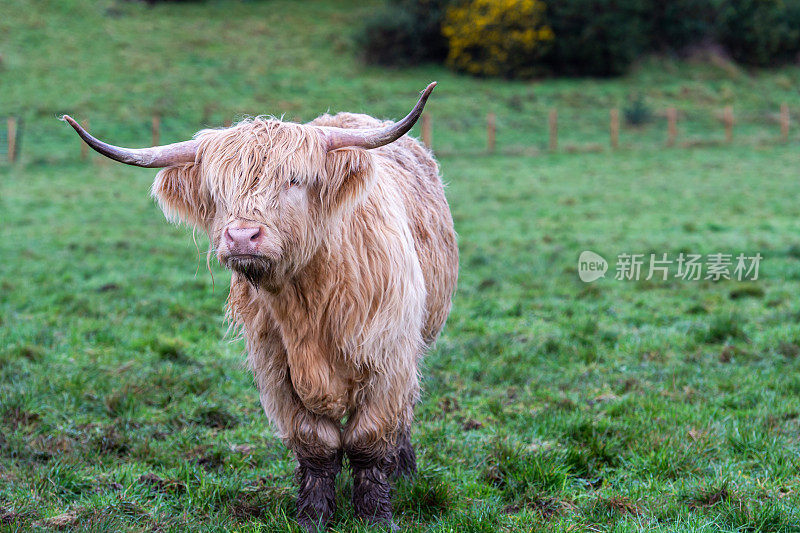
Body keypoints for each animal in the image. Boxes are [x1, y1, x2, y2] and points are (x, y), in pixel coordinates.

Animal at [61, 82, 456, 528]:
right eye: (218, 191)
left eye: (294, 179)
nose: (241, 236)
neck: (309, 301)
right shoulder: (276, 368)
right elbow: (315, 443)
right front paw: (312, 514)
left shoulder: (387, 357)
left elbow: (368, 440)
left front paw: (375, 515)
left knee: (403, 416)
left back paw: (403, 470)